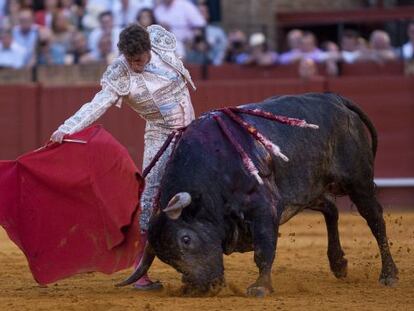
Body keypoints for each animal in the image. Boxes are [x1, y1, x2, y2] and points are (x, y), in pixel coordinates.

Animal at [117, 92, 398, 298]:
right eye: (166, 258)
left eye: (186, 239)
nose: (200, 287)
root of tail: (336, 100)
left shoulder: (263, 208)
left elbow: (264, 249)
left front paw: (260, 287)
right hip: (309, 187)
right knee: (331, 209)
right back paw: (338, 264)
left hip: (357, 181)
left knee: (375, 219)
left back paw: (389, 274)